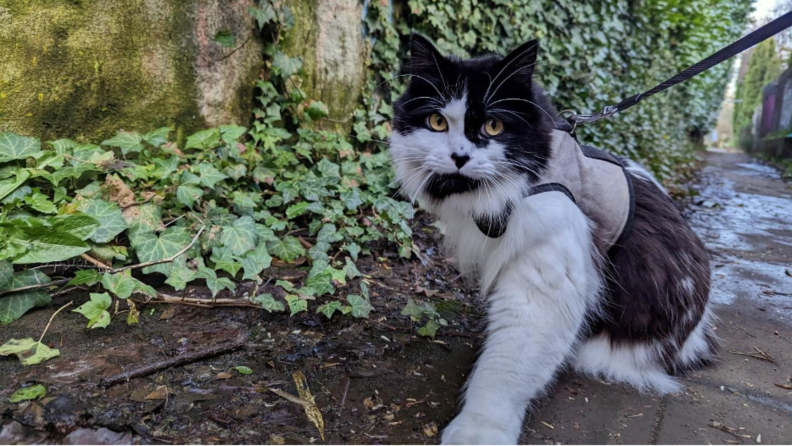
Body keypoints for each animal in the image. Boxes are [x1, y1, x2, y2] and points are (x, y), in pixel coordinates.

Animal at [390, 35, 716, 446]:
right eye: (437, 122)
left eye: (494, 126)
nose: (460, 157)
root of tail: (697, 334)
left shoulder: (546, 281)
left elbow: (505, 370)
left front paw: (479, 431)